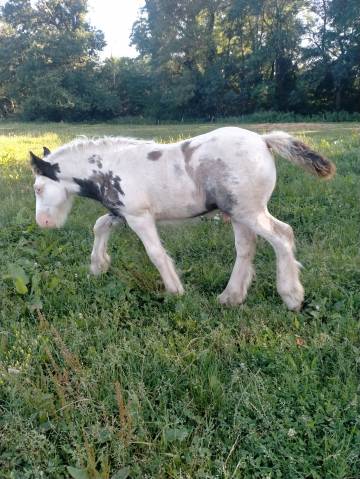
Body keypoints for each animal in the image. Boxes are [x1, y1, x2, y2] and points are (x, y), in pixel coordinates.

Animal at [30, 126, 334, 312]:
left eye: (38, 188)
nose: (43, 223)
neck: (110, 168)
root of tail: (262, 140)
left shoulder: (139, 217)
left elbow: (155, 253)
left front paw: (175, 290)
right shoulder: (122, 212)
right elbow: (100, 225)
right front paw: (98, 266)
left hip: (249, 211)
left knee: (283, 235)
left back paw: (292, 296)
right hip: (237, 214)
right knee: (246, 248)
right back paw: (230, 297)